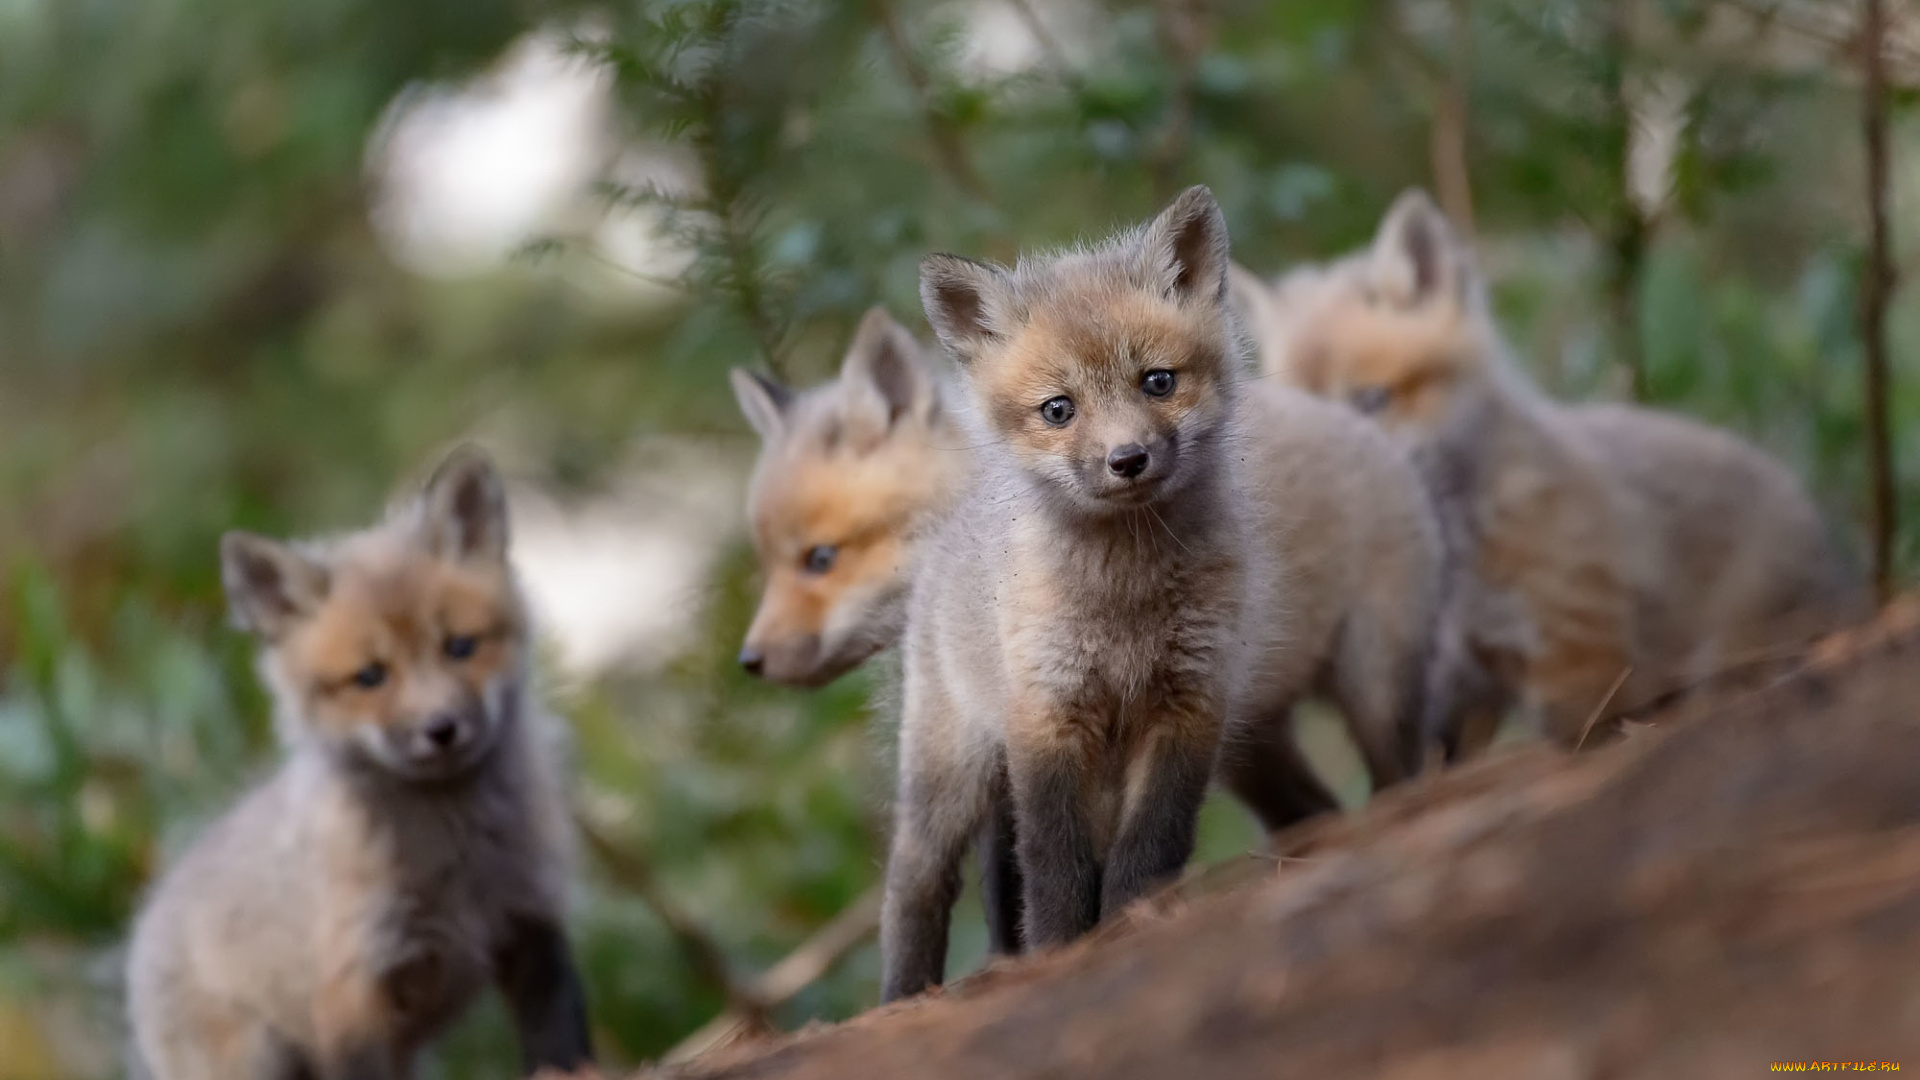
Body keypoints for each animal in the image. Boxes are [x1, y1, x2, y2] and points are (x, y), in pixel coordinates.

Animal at [124, 445, 587, 1076]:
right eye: (370, 677)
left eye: (460, 647)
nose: (441, 728)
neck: (456, 861)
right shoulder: (353, 988)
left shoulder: (532, 922)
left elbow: (560, 1046)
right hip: (256, 1060)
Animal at [879, 187, 1443, 999]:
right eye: (1058, 409)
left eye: (1158, 381)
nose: (1128, 459)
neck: (1127, 602)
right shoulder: (1049, 716)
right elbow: (1053, 863)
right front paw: (1063, 950)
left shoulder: (1191, 704)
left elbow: (1150, 845)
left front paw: (1131, 925)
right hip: (951, 771)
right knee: (915, 884)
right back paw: (902, 995)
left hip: (1359, 691)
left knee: (1361, 788)